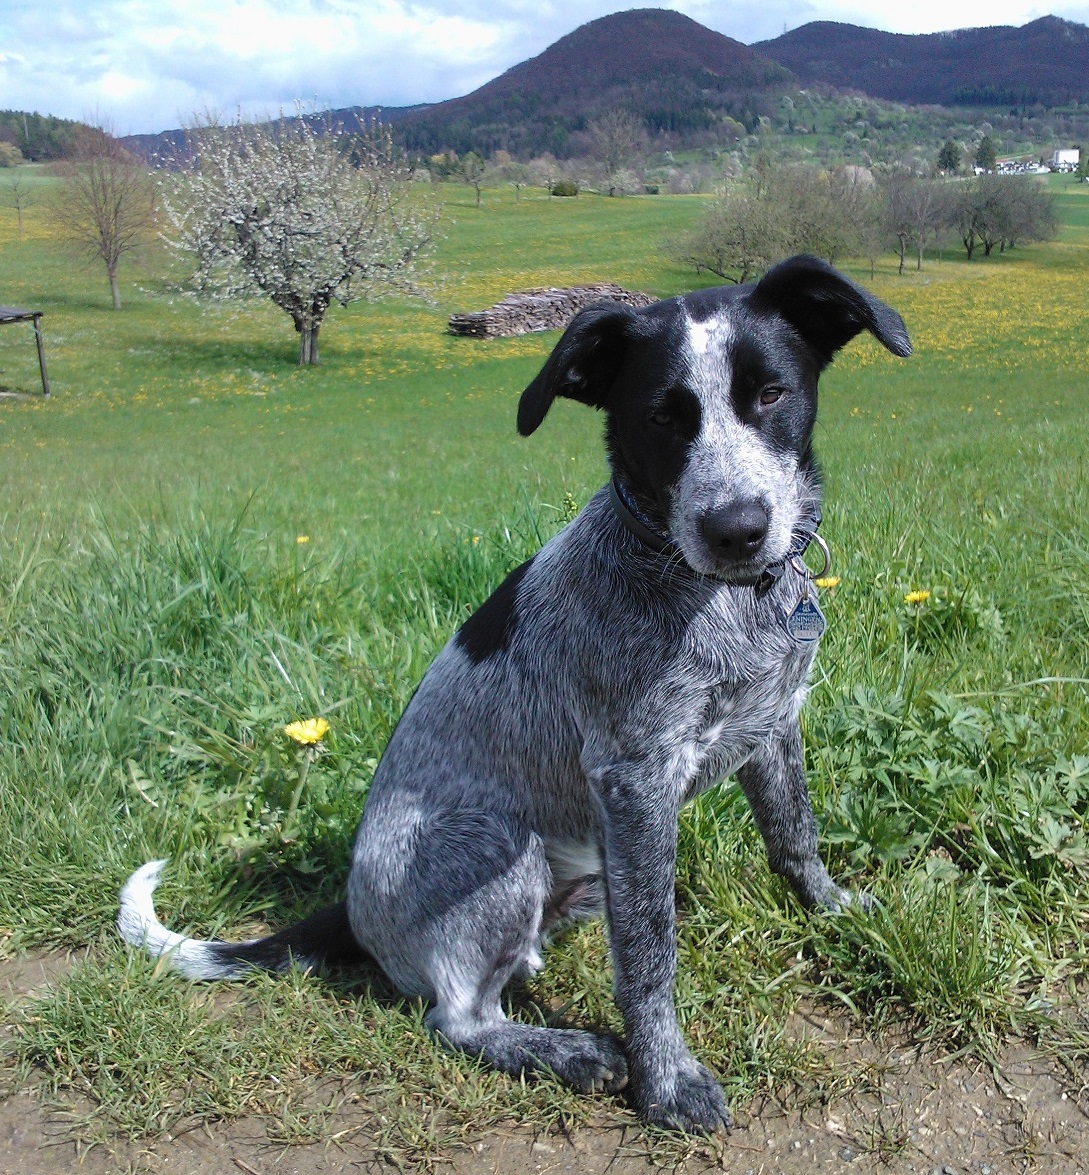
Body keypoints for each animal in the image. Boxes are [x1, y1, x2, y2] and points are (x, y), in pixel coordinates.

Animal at [116, 254, 911, 1128]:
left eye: (770, 393)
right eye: (660, 418)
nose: (736, 529)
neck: (721, 596)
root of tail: (351, 904)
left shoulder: (771, 723)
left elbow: (793, 835)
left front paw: (831, 908)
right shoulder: (633, 779)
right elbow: (649, 955)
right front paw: (664, 1078)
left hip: (586, 866)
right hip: (500, 844)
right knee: (456, 1016)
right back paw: (558, 1048)